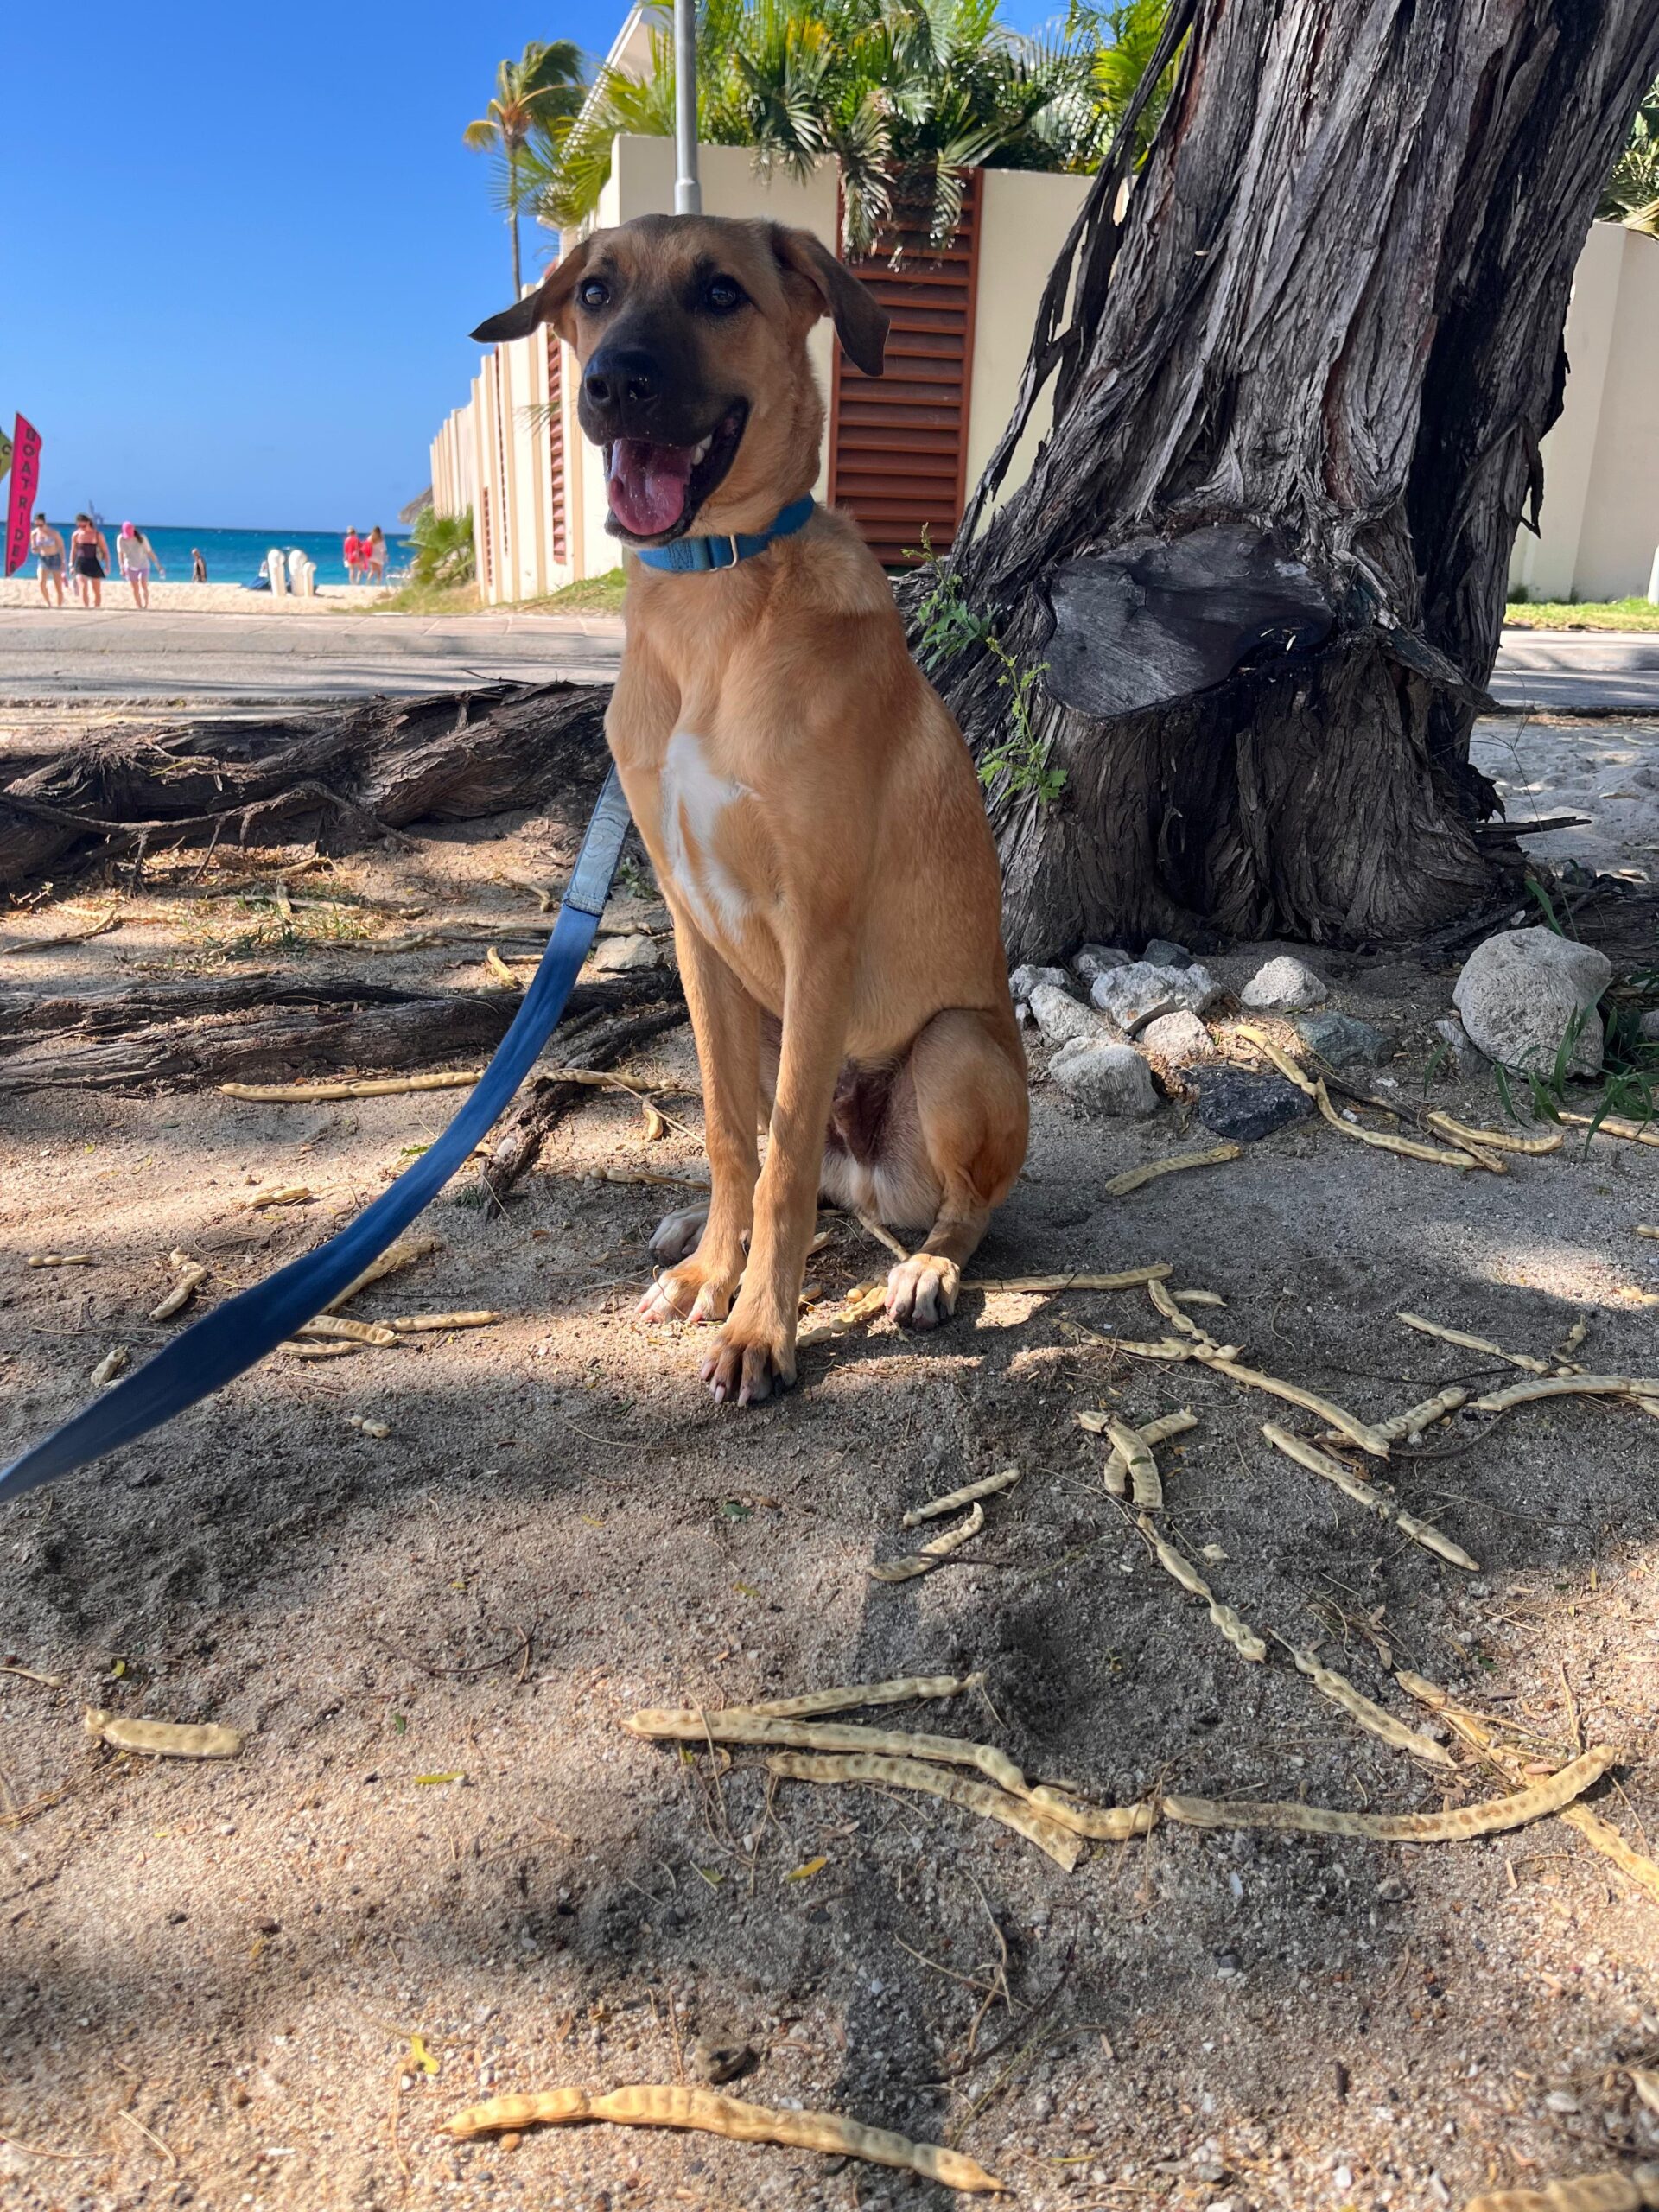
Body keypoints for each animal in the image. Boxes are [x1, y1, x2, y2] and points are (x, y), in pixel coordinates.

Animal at [474, 214, 1028, 1405]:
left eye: (721, 292)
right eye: (594, 291)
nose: (613, 383)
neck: (712, 604)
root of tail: (869, 1178)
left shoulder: (817, 926)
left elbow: (776, 1163)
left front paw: (761, 1328)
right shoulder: (697, 930)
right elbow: (737, 1134)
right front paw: (713, 1276)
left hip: (955, 1048)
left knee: (960, 1205)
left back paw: (925, 1269)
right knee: (793, 1157)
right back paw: (701, 1235)